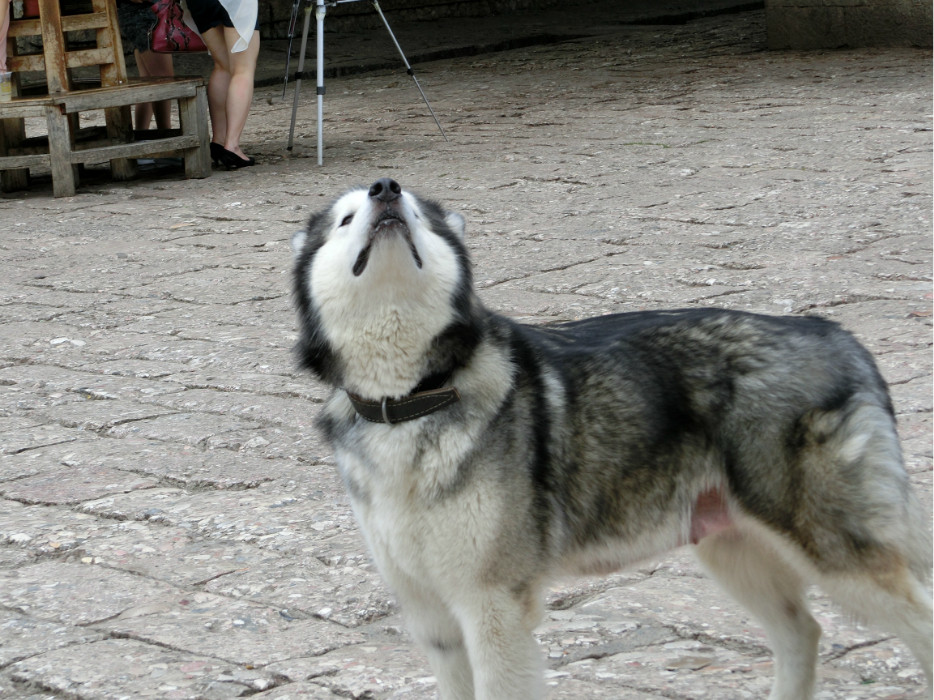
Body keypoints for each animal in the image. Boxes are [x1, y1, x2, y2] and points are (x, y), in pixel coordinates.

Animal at [288, 179, 932, 700]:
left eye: (420, 213)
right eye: (345, 218)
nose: (386, 188)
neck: (411, 397)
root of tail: (837, 333)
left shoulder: (492, 608)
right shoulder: (436, 624)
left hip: (835, 556)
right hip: (733, 551)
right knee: (803, 632)